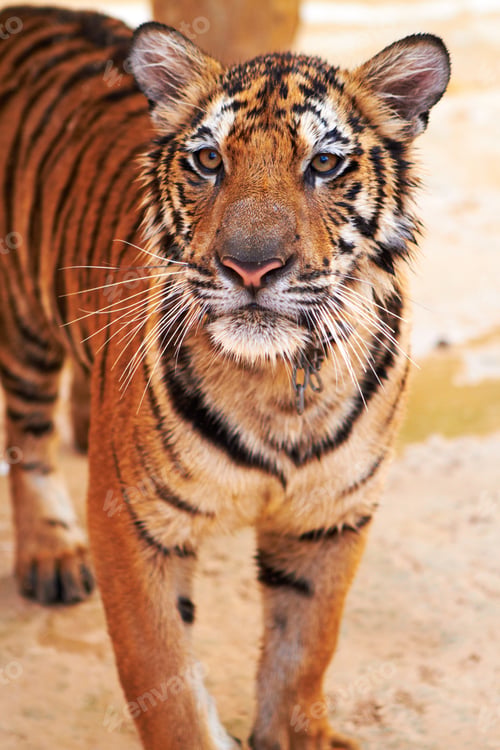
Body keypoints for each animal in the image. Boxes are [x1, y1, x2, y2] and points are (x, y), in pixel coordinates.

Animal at [0, 6, 450, 749]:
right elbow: (167, 686)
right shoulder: (133, 525)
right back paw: (51, 553)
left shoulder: (331, 518)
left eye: (324, 164)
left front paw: (297, 735)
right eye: (209, 160)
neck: (280, 381)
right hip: (22, 324)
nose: (250, 267)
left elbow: (305, 649)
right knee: (25, 437)